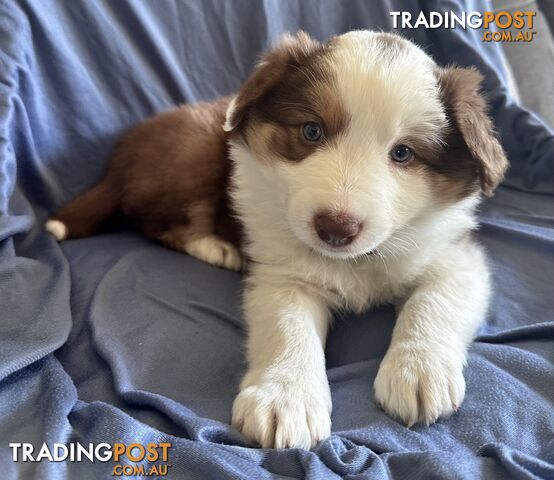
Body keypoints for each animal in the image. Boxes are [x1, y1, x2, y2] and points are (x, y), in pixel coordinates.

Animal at [47, 30, 504, 450]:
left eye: (403, 153)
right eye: (312, 131)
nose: (335, 228)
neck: (355, 260)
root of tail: (120, 155)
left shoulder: (455, 256)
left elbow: (433, 301)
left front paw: (419, 371)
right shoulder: (281, 274)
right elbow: (288, 328)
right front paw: (285, 398)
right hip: (193, 157)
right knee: (155, 222)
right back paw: (214, 247)